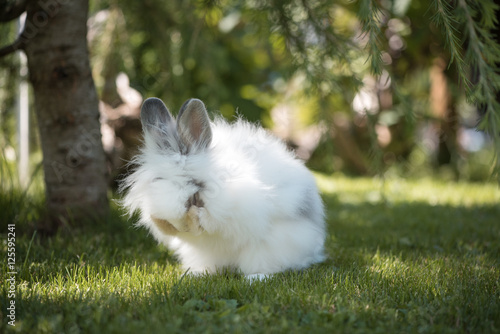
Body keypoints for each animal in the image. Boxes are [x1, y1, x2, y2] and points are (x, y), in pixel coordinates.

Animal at [119, 98, 326, 276]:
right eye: (157, 180)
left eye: (195, 186)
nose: (171, 224)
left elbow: (214, 220)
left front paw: (196, 218)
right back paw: (198, 274)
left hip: (270, 248)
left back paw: (255, 277)